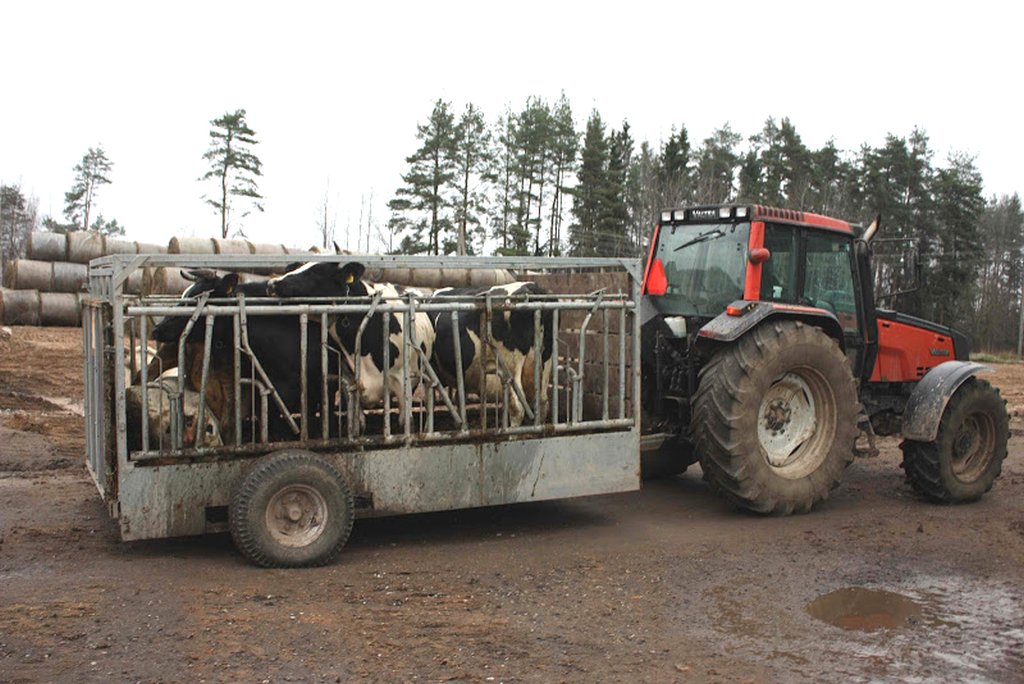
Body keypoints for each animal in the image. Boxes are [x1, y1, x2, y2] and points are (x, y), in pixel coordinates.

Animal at [428, 280, 552, 423]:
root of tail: (531, 287)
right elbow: (459, 398)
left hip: (510, 367)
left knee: (517, 408)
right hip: (545, 362)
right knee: (542, 404)